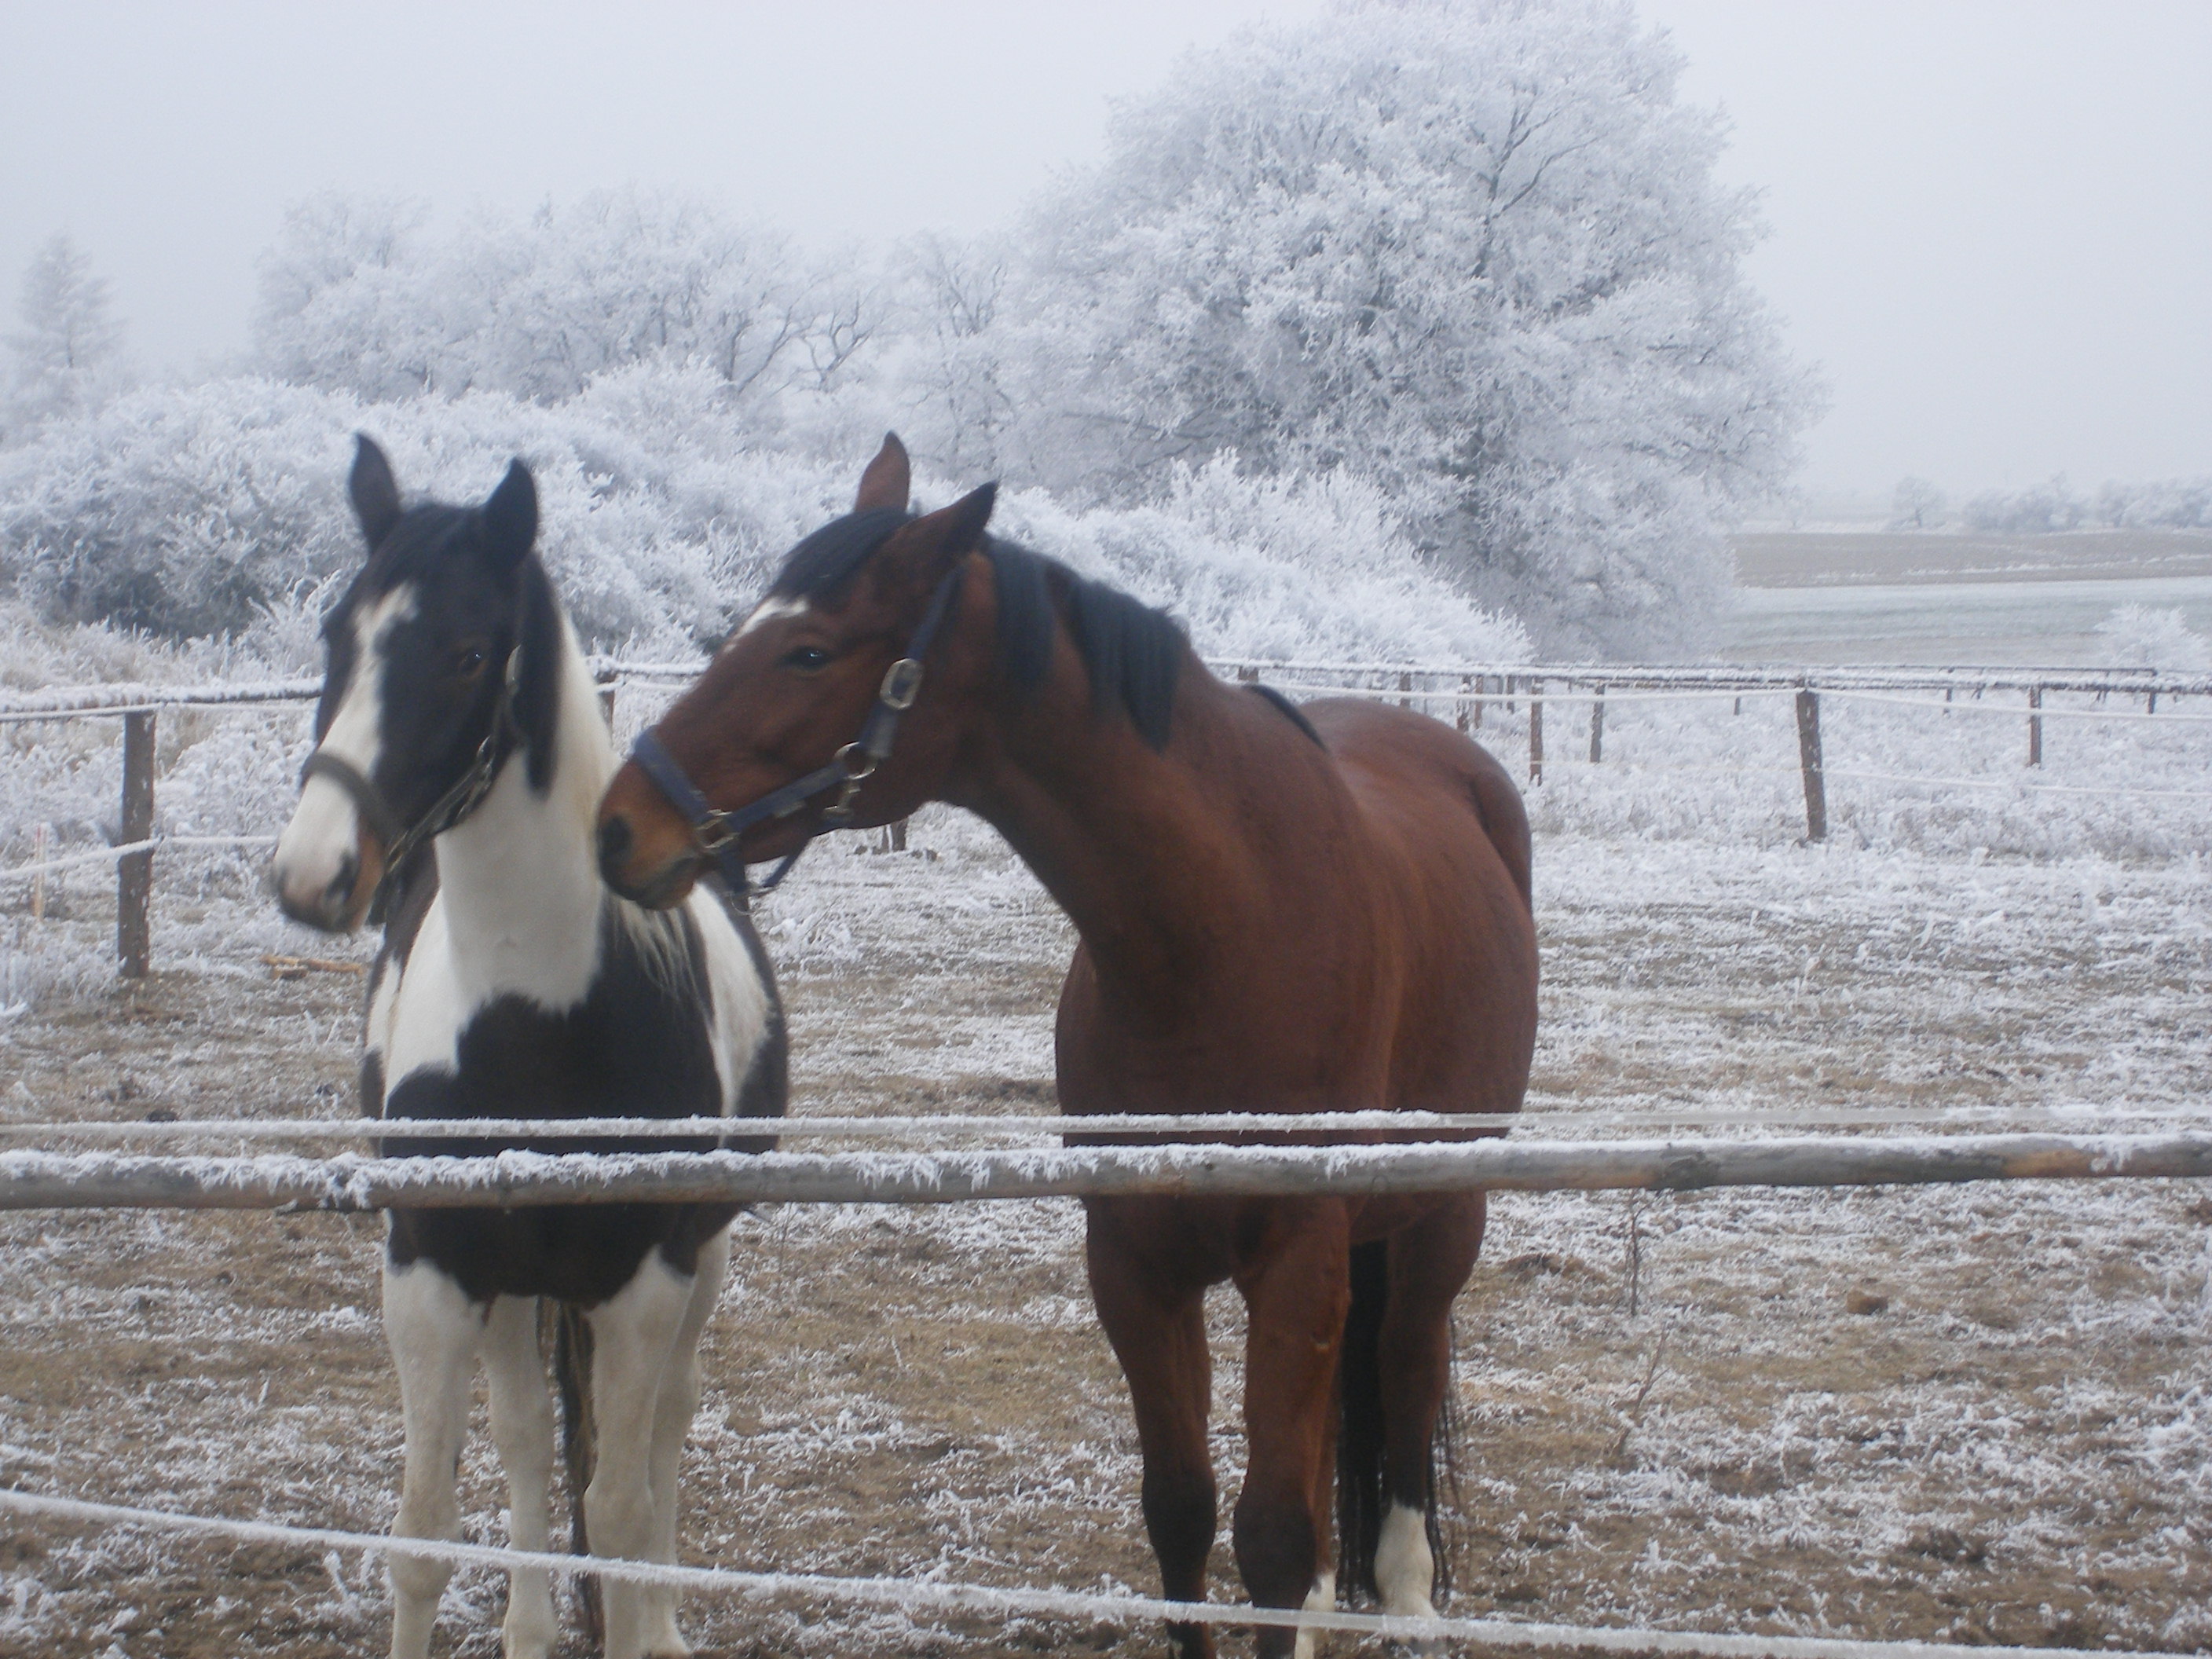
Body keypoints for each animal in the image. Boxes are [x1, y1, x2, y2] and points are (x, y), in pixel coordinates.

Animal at [275, 442, 782, 1659]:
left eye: (467, 653)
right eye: (336, 635)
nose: (314, 873)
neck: (536, 1030)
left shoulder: (645, 1282)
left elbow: (623, 1505)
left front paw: (643, 1626)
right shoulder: (427, 1273)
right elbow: (426, 1527)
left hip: (697, 1260)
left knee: (662, 1436)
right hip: (509, 1290)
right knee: (517, 1436)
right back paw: (529, 1626)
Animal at [592, 442, 1539, 1659]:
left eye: (809, 650)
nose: (622, 826)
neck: (1224, 929)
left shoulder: (1297, 1257)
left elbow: (1274, 1539)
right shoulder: (1133, 1262)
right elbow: (1182, 1510)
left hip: (1438, 1217)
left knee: (1409, 1381)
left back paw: (1408, 1594)